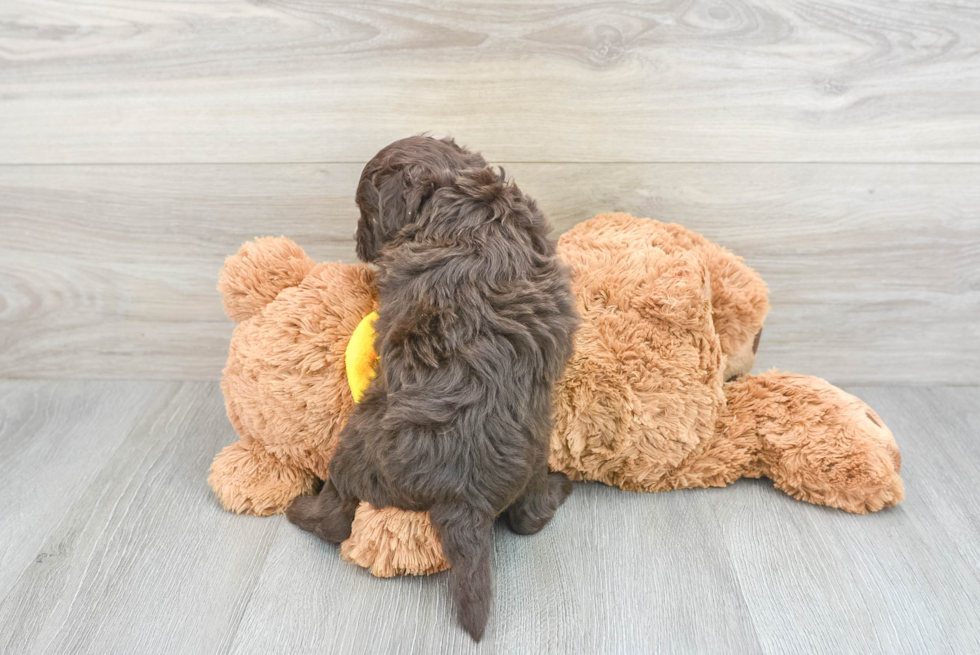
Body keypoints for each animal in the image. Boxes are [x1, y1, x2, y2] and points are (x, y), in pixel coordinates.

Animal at [284, 136, 580, 644]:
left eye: (366, 212)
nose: (358, 243)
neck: (455, 187)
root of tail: (465, 498)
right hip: (535, 454)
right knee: (529, 518)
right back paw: (558, 487)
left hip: (353, 450)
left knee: (335, 518)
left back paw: (302, 507)